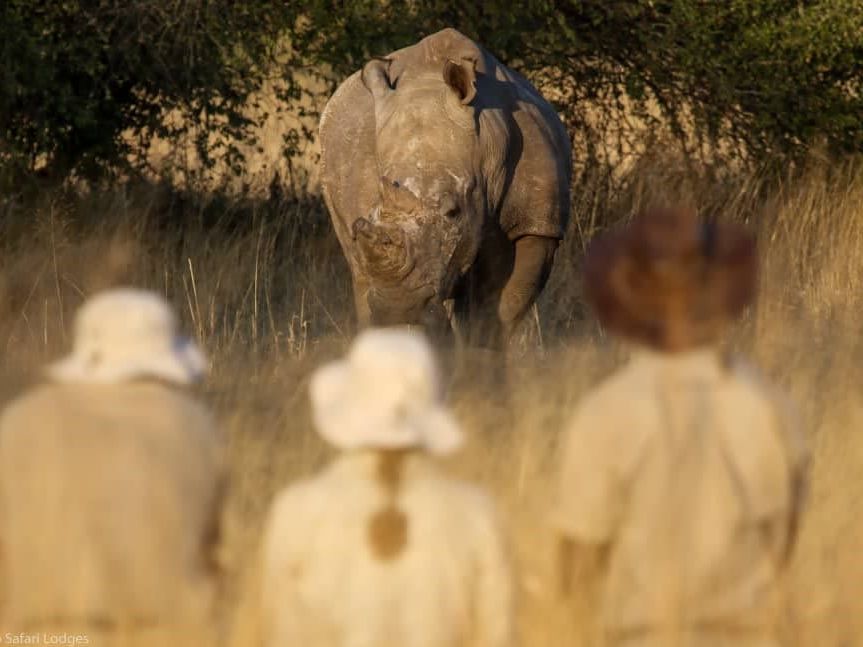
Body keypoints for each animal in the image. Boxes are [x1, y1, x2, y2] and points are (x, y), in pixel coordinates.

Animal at [319, 28, 571, 347]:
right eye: (369, 216)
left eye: (453, 212)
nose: (395, 308)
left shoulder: (536, 225)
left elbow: (499, 310)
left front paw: (479, 354)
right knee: (359, 272)